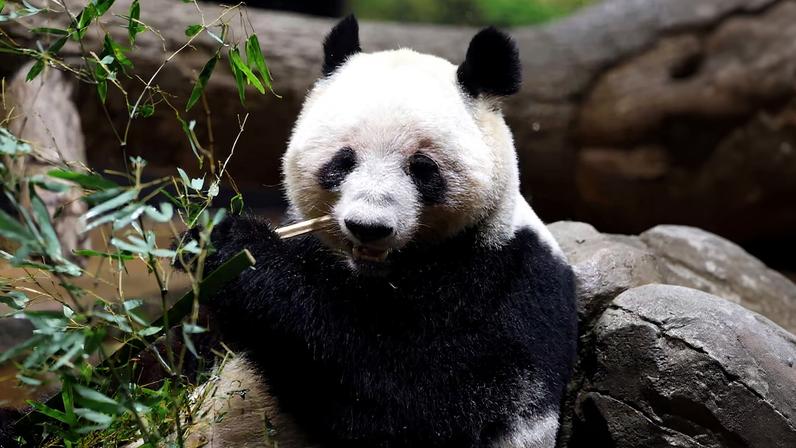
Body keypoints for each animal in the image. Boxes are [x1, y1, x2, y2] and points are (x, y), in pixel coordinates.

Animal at [188, 15, 577, 448]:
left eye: (423, 168)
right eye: (342, 161)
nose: (368, 227)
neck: (375, 273)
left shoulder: (498, 284)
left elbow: (415, 401)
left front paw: (242, 252)